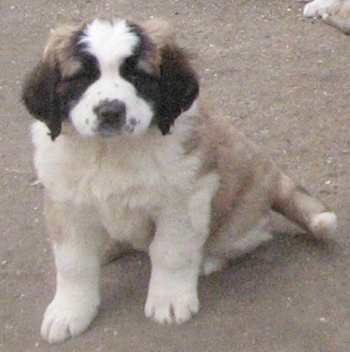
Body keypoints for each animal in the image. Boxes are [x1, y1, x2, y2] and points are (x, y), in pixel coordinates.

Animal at [21, 18, 336, 344]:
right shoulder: (66, 203)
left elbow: (170, 252)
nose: (110, 111)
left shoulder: (183, 199)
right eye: (82, 78)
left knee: (250, 236)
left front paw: (169, 300)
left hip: (241, 207)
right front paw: (69, 311)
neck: (112, 151)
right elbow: (73, 263)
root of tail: (272, 173)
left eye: (137, 75)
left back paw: (208, 259)